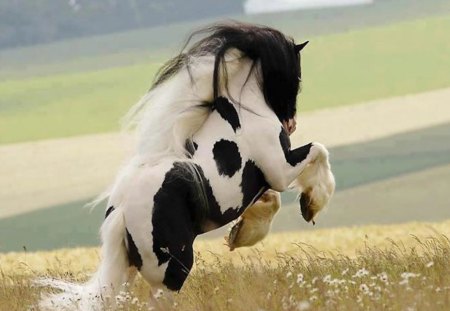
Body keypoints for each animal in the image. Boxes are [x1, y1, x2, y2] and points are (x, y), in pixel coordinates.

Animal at [37, 22, 334, 311]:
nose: (290, 124)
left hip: (129, 268)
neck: (244, 111)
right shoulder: (279, 170)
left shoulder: (263, 182)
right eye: (297, 77)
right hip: (171, 270)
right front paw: (311, 205)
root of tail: (121, 211)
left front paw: (239, 236)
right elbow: (318, 150)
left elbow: (271, 201)